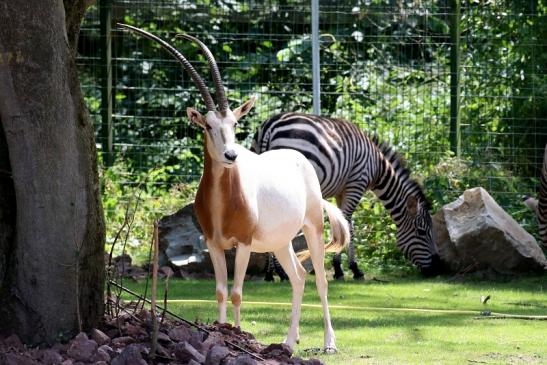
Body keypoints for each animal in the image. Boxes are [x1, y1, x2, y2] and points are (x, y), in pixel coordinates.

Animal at [253, 111, 446, 278]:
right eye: (421, 232)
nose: (438, 268)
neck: (377, 168)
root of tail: (270, 126)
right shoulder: (357, 183)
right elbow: (346, 224)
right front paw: (344, 268)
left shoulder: (342, 191)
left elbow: (348, 225)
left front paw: (350, 267)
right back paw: (281, 272)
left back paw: (271, 274)